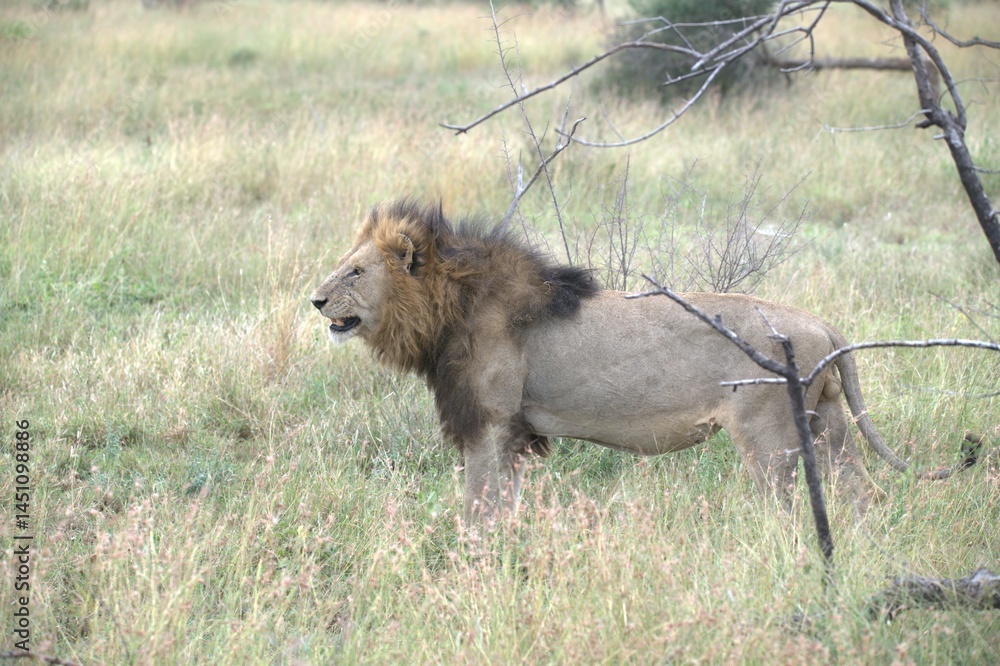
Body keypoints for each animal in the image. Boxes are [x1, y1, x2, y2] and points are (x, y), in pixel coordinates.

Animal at [310, 199, 925, 523]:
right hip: (828, 423)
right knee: (862, 493)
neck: (446, 310)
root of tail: (821, 323)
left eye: (355, 272)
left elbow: (477, 502)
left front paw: (472, 554)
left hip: (768, 436)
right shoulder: (515, 432)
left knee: (785, 507)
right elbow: (506, 501)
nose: (314, 300)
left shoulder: (488, 422)